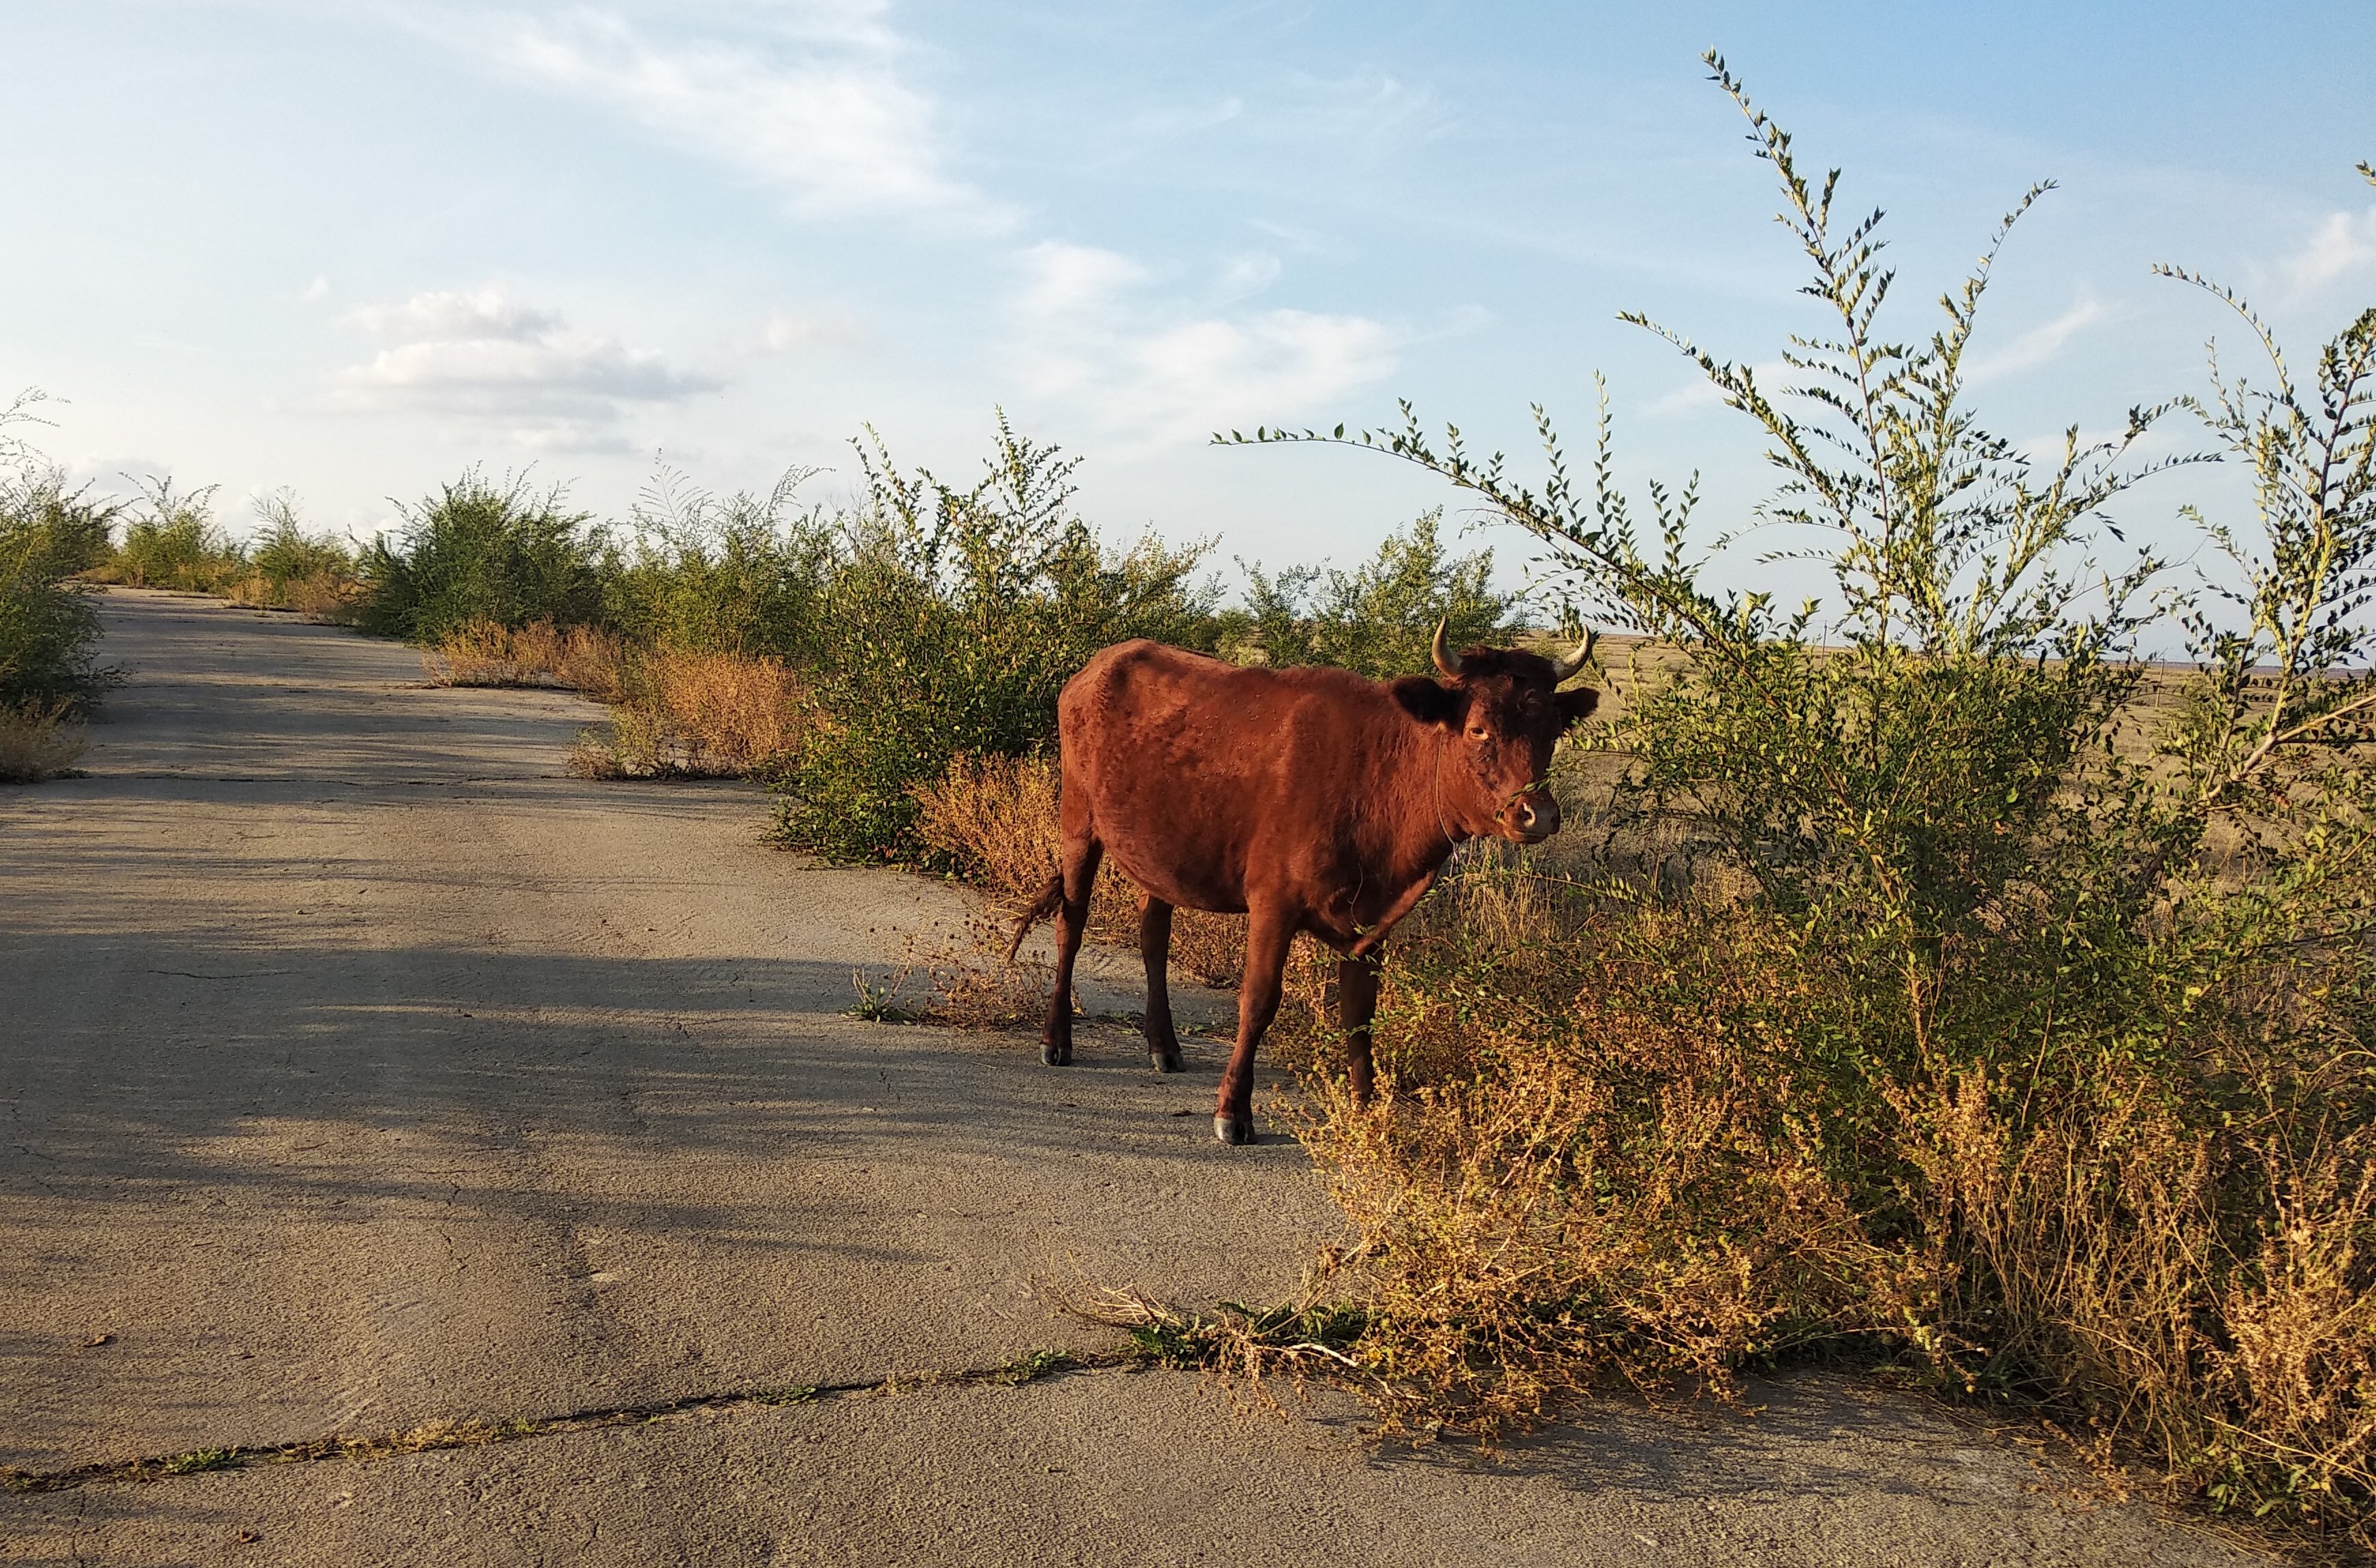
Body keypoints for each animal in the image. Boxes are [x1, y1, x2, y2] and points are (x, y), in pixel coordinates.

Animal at [1007, 617, 1596, 1145]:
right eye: (1479, 729)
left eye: (1551, 732)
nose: (1538, 815)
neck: (1376, 775)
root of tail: (1101, 663)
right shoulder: (1274, 905)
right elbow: (1259, 1000)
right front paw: (1233, 1111)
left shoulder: (1372, 922)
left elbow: (1360, 1013)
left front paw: (1366, 1110)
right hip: (1078, 823)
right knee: (1071, 926)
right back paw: (1057, 1039)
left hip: (1159, 853)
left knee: (1153, 935)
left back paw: (1164, 1046)